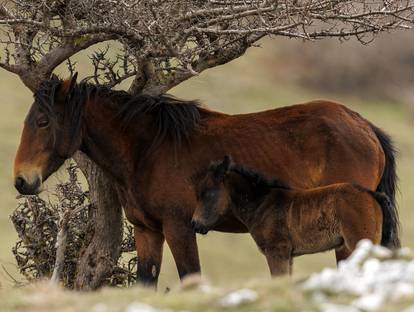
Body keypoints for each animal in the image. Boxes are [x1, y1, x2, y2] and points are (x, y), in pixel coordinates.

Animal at [192, 157, 400, 276]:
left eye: (208, 193)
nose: (195, 224)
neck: (261, 203)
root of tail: (371, 194)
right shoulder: (288, 255)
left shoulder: (277, 252)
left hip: (362, 241)